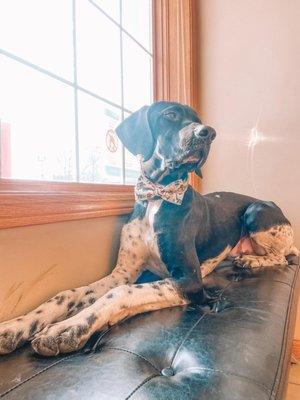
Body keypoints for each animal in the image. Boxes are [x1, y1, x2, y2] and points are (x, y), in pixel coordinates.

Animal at [0, 101, 298, 356]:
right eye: (171, 115)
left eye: (198, 120)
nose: (209, 133)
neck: (157, 194)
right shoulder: (124, 272)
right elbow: (70, 293)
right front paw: (16, 326)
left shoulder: (188, 280)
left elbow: (119, 293)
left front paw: (68, 327)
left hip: (256, 211)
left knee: (283, 257)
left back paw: (250, 260)